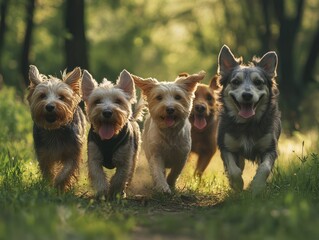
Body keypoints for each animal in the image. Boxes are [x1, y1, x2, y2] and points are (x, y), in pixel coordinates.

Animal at [218, 45, 282, 195]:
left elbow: (264, 168)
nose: (247, 95)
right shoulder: (226, 147)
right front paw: (237, 184)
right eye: (236, 82)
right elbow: (234, 170)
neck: (247, 124)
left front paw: (257, 186)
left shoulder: (270, 149)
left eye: (258, 82)